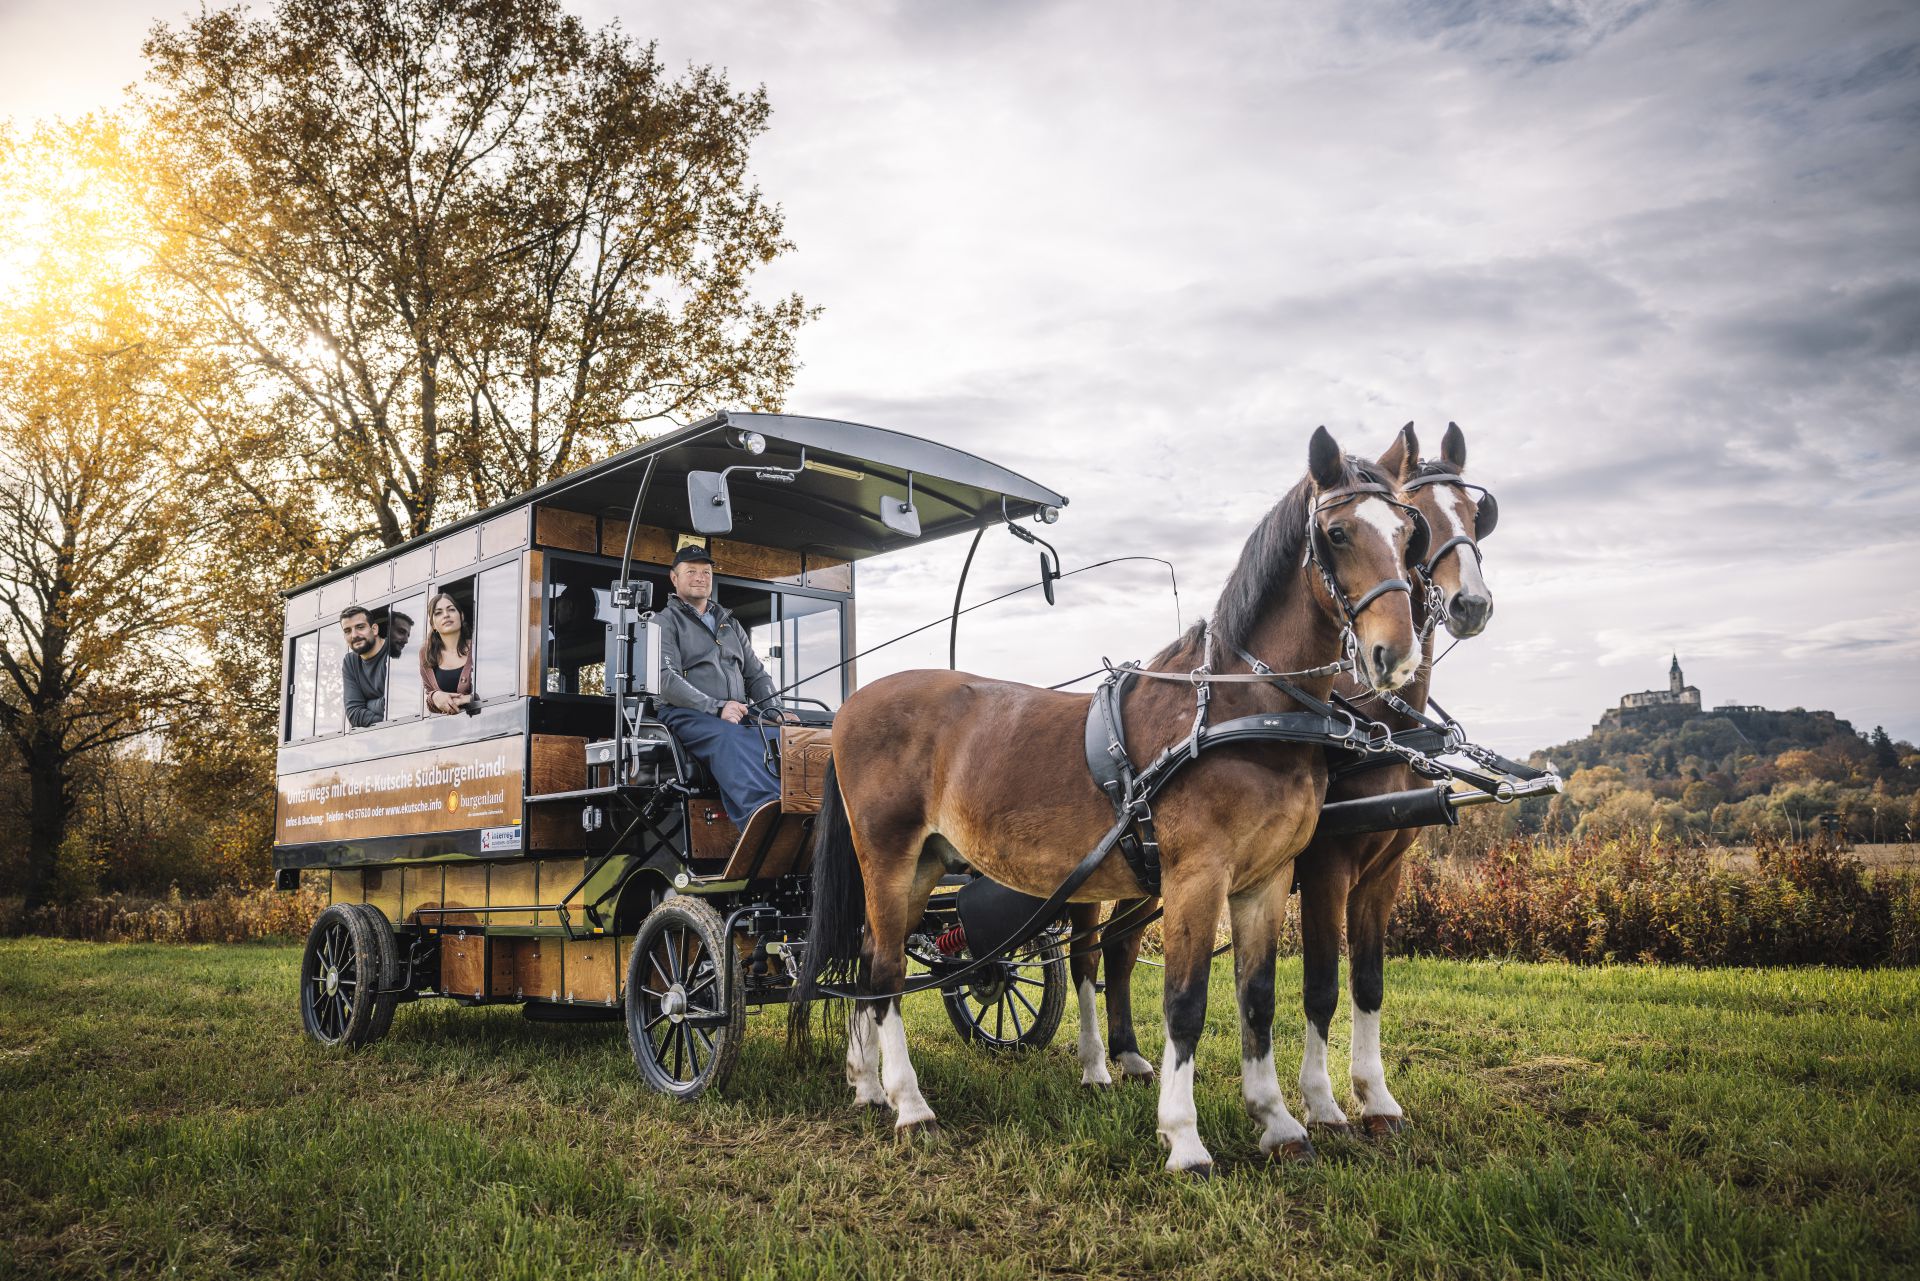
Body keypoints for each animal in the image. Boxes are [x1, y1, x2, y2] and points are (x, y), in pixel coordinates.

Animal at [791, 428, 1428, 1175]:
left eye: (1408, 533)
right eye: (1336, 531)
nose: (1395, 654)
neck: (1243, 709)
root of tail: (848, 708)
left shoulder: (1265, 881)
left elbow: (1257, 999)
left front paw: (1277, 1121)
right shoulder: (1197, 875)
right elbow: (1185, 1002)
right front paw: (1184, 1137)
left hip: (924, 863)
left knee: (868, 954)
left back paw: (867, 1085)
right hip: (887, 855)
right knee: (888, 968)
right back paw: (910, 1104)